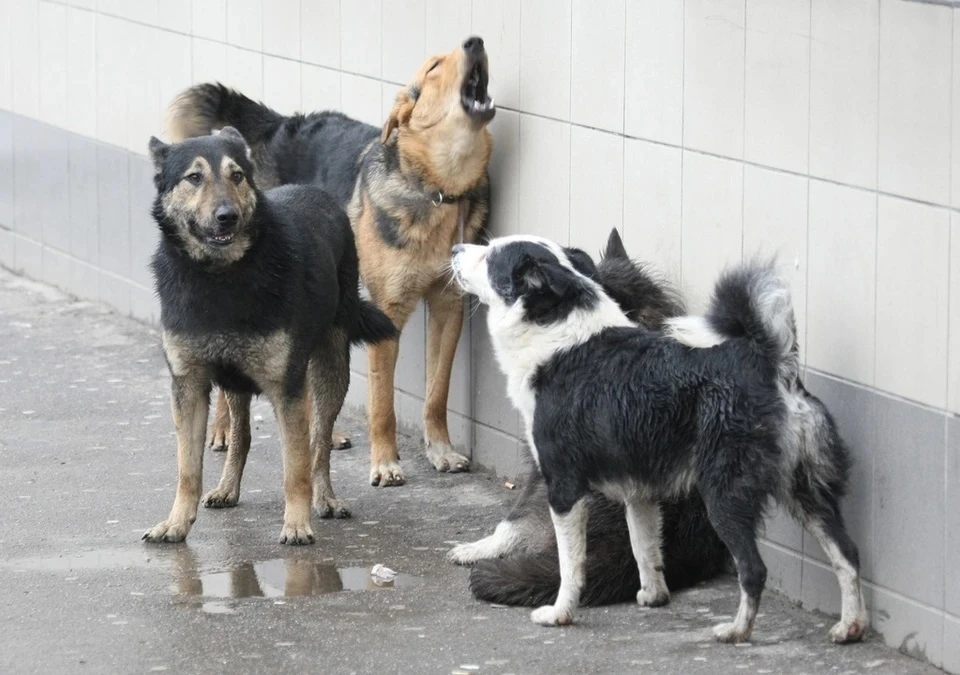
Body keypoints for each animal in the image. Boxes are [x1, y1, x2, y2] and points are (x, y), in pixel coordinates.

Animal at [143, 129, 398, 548]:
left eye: (237, 176)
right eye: (194, 178)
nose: (226, 216)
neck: (221, 277)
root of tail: (314, 190)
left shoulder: (286, 389)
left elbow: (296, 466)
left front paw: (296, 524)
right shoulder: (189, 387)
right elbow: (187, 469)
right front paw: (176, 523)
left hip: (329, 372)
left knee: (318, 443)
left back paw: (324, 498)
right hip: (236, 381)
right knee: (242, 434)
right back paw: (227, 488)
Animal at [166, 37, 496, 488]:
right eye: (433, 67)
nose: (475, 41)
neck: (437, 190)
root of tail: (279, 124)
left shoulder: (449, 307)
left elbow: (437, 393)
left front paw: (440, 450)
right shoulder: (389, 311)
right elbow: (382, 402)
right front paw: (385, 462)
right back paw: (222, 428)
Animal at [452, 236, 872, 644]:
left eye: (490, 255)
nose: (456, 249)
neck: (559, 336)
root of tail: (771, 365)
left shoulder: (564, 488)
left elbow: (570, 565)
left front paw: (560, 613)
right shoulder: (639, 491)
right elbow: (646, 549)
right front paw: (654, 596)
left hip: (724, 495)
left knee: (754, 570)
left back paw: (738, 631)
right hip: (807, 493)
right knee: (847, 555)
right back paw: (850, 626)